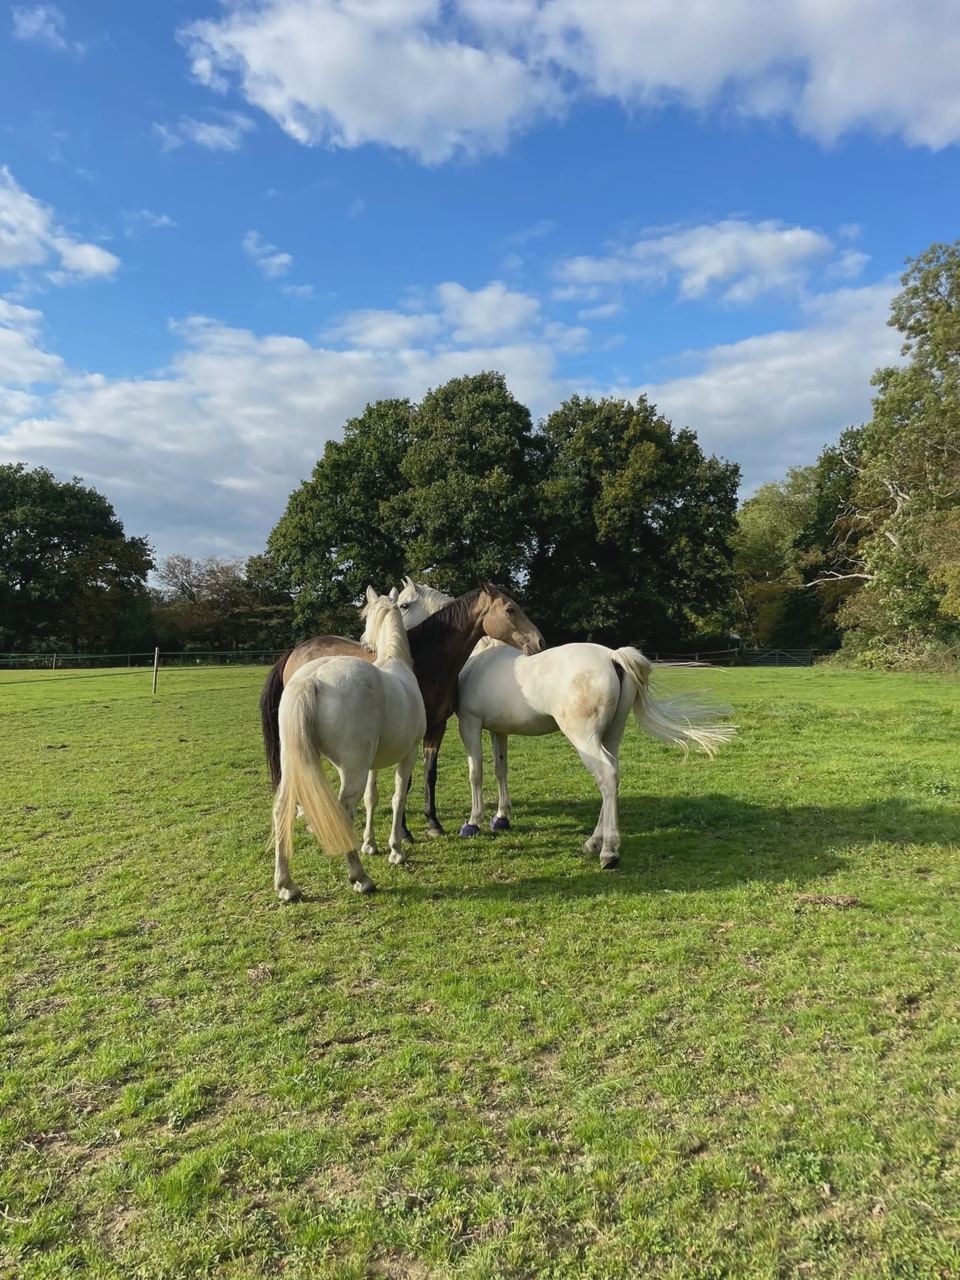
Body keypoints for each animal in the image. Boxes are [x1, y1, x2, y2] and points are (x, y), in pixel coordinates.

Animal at [260, 583, 544, 842]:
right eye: (510, 609)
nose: (539, 641)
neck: (427, 661)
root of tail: (295, 651)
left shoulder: (437, 727)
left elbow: (430, 775)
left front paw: (433, 823)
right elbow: (404, 784)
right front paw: (405, 832)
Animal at [271, 588, 425, 902]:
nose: (365, 641)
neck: (396, 663)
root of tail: (312, 680)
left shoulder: (373, 763)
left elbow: (372, 798)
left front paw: (371, 844)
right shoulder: (409, 755)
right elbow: (397, 798)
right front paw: (396, 850)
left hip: (296, 763)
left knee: (282, 808)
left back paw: (286, 886)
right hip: (352, 769)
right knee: (343, 812)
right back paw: (361, 878)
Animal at [397, 580, 735, 869]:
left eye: (403, 605)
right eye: (510, 609)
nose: (538, 641)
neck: (481, 656)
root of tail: (613, 657)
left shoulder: (470, 723)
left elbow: (475, 773)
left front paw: (472, 823)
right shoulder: (498, 730)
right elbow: (500, 769)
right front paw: (501, 818)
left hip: (584, 738)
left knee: (606, 776)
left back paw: (608, 851)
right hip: (610, 735)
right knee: (613, 773)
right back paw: (594, 842)